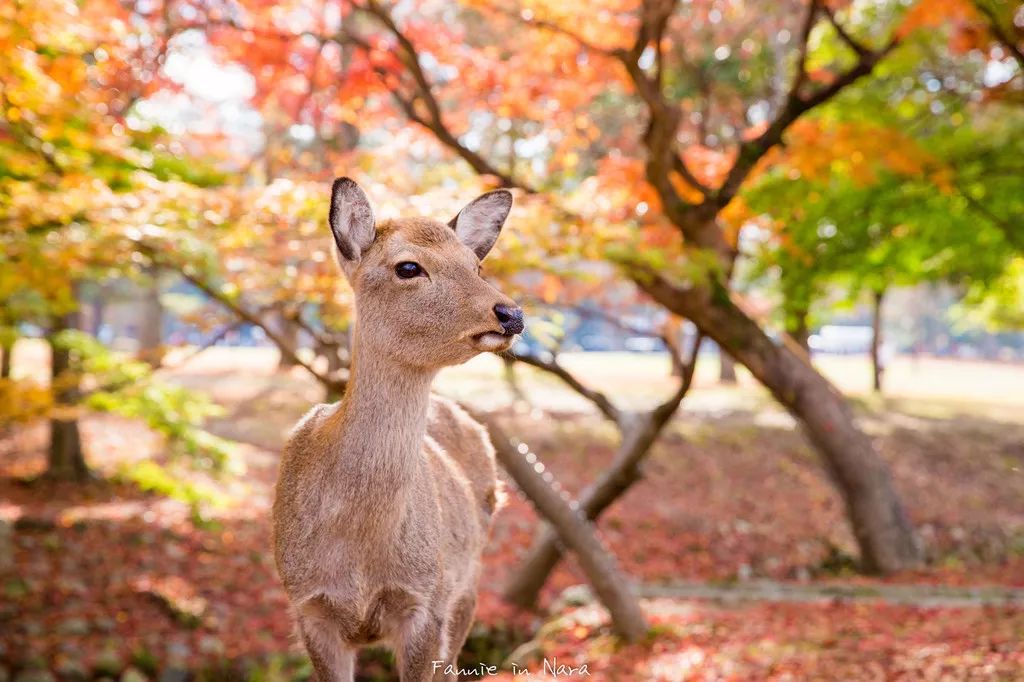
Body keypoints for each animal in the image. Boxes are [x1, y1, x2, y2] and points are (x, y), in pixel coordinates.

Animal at [272, 178, 524, 675]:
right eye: (408, 267)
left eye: (477, 265)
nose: (510, 313)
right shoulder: (308, 608)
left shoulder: (427, 602)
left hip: (468, 586)